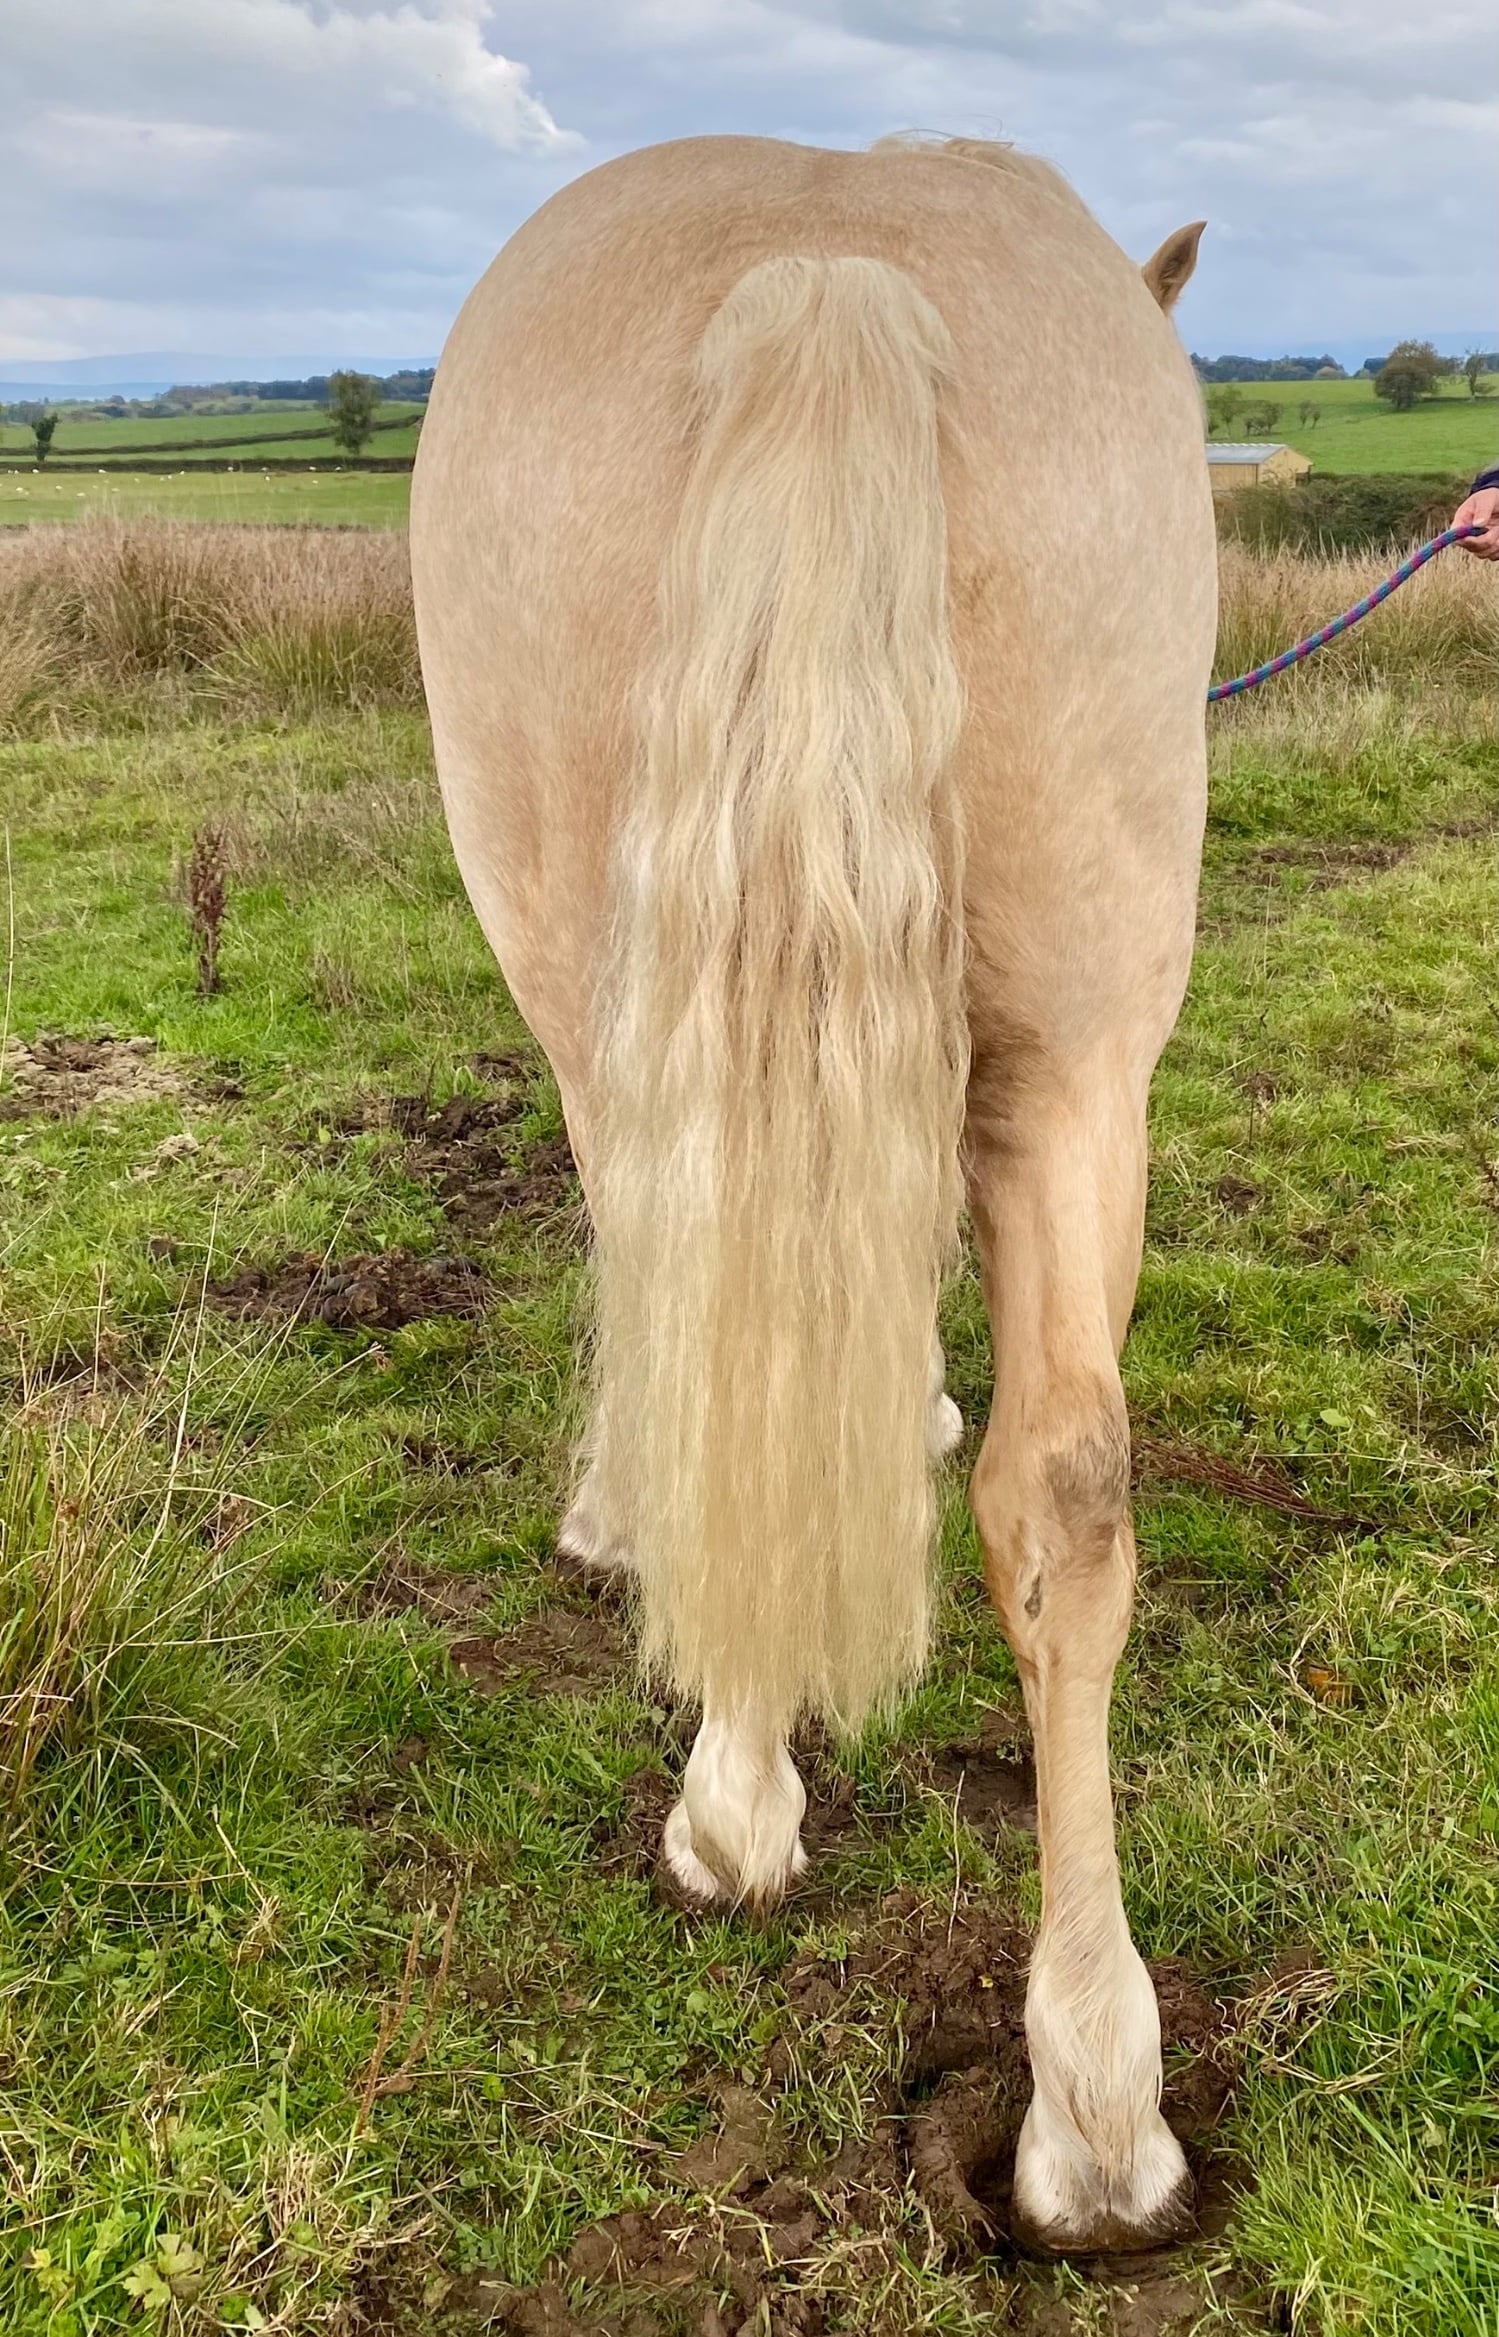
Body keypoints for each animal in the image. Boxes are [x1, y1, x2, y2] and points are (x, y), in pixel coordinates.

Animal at [410, 132, 1215, 2257]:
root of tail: (830, 261)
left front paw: (617, 1523)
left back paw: (730, 1805)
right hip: (1081, 1052)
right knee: (1066, 1494)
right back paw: (1092, 2111)